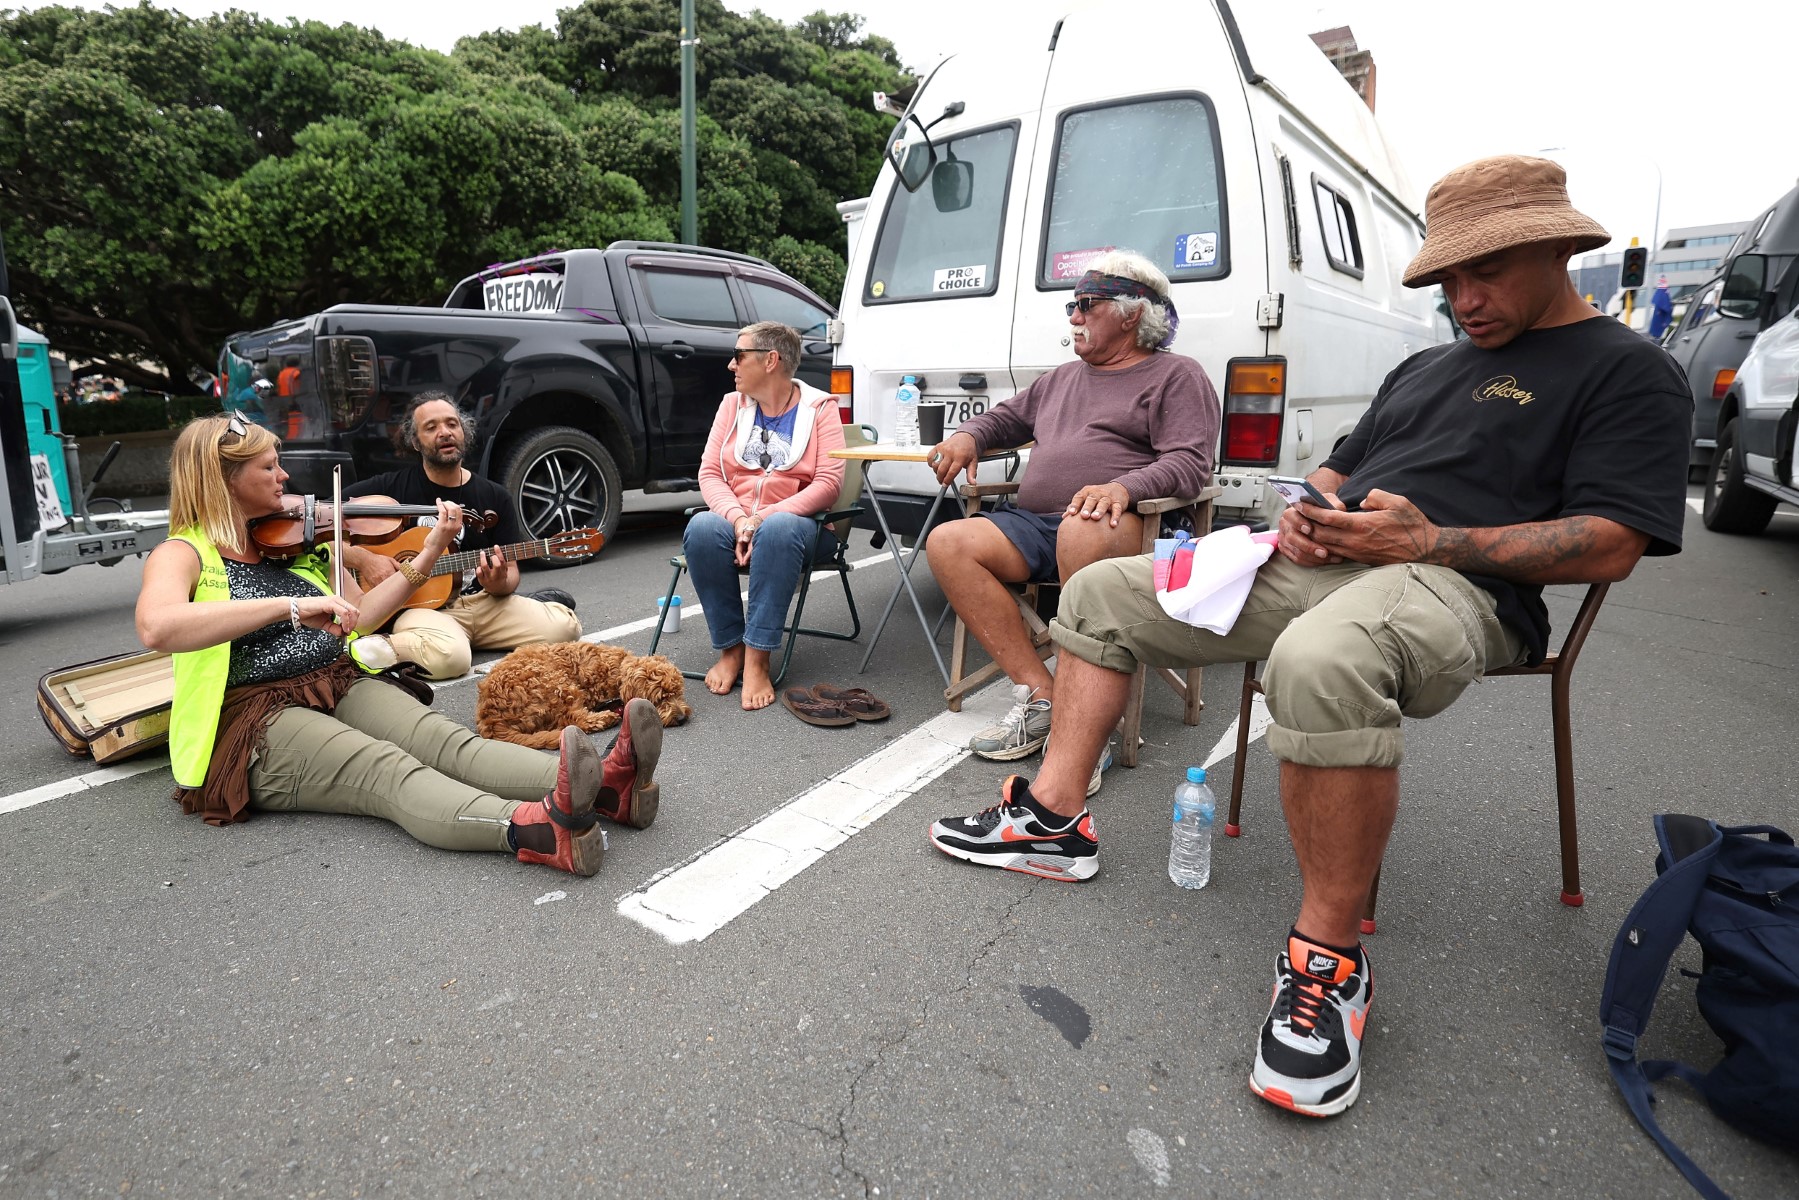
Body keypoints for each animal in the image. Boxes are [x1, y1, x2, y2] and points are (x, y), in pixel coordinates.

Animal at [474, 644, 690, 744]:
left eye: (678, 692)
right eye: (661, 698)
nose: (681, 718)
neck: (613, 669)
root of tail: (489, 716)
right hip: (553, 681)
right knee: (572, 718)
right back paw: (604, 718)